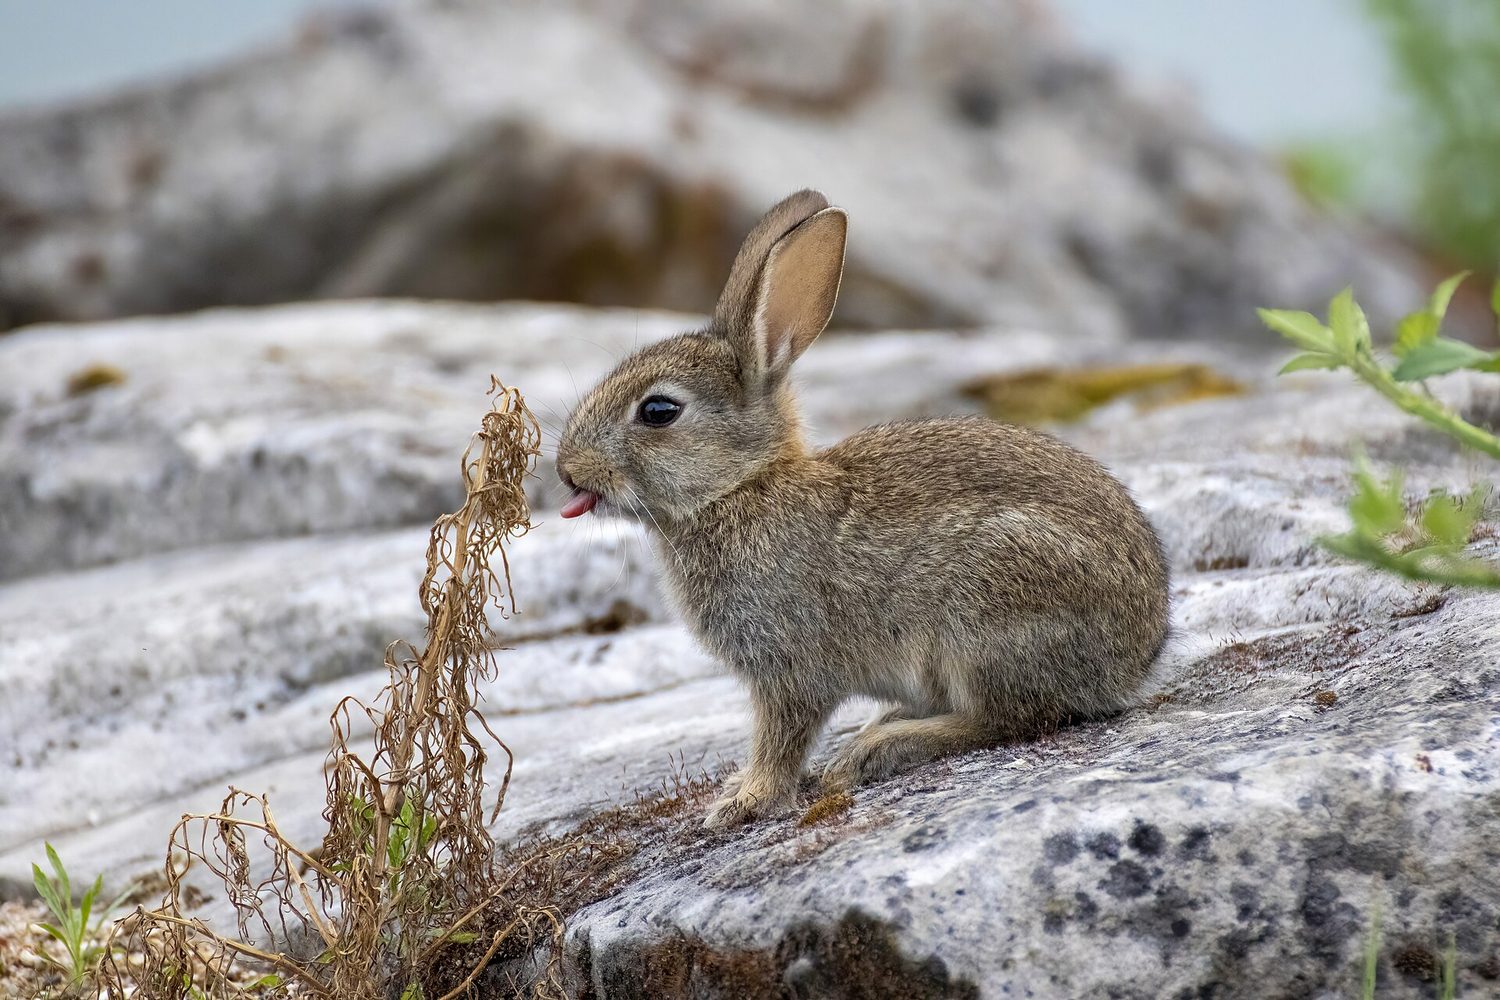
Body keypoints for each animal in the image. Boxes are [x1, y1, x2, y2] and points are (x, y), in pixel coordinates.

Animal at [555, 189, 1170, 828]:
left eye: (658, 411)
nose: (566, 469)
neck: (741, 488)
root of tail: (1135, 662)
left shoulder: (790, 665)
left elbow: (782, 737)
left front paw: (744, 801)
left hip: (988, 611)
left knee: (1010, 718)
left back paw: (879, 749)